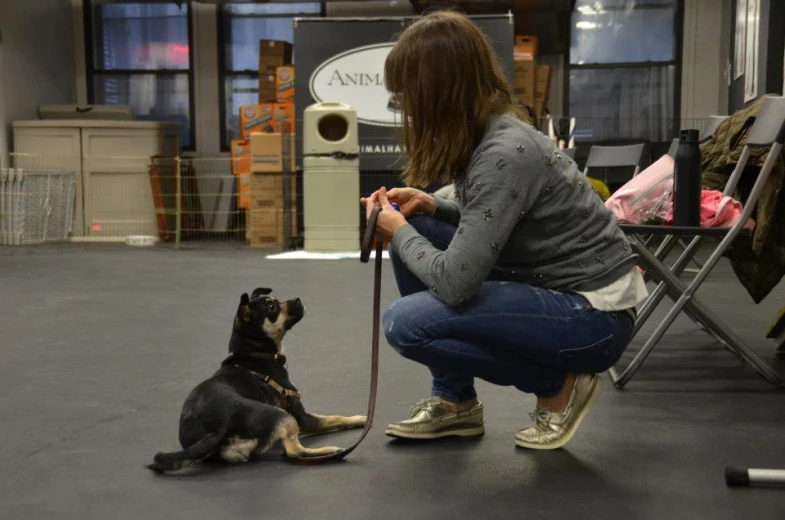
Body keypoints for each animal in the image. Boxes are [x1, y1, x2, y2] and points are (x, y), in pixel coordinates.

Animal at [147, 286, 368, 474]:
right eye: (272, 307)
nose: (297, 298)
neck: (255, 354)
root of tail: (218, 427)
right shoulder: (302, 418)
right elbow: (336, 417)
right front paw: (362, 419)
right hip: (282, 416)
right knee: (292, 452)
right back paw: (332, 450)